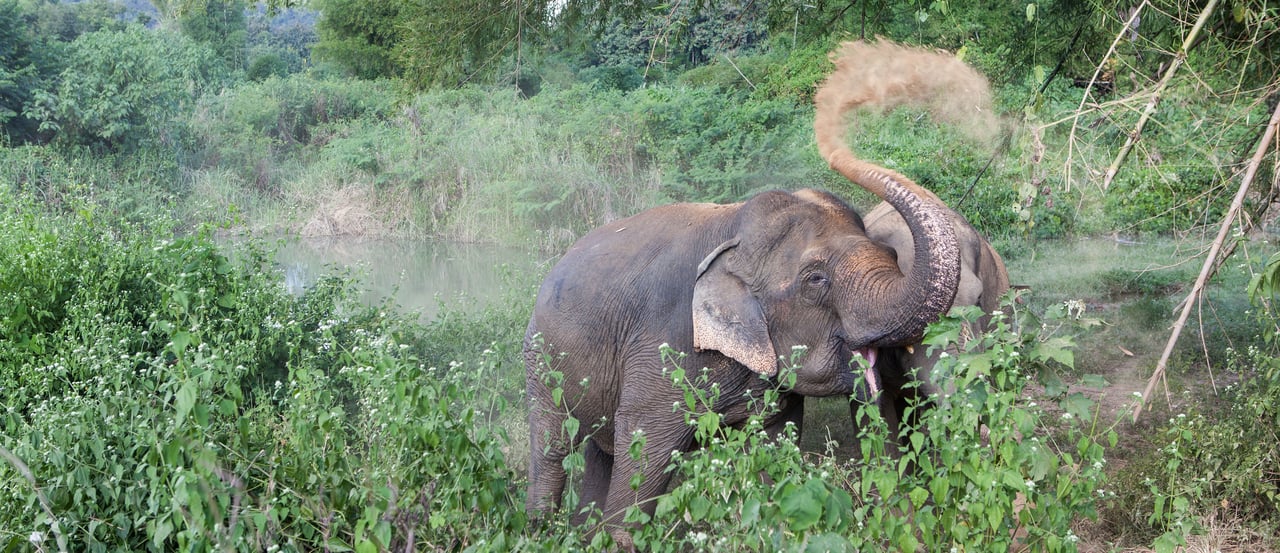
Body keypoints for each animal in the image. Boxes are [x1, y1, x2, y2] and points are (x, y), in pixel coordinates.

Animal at [519, 152, 962, 545]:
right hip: (539, 359)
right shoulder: (663, 342)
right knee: (552, 447)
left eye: (891, 254)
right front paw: (620, 538)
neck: (733, 233)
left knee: (602, 451)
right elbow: (644, 444)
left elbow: (772, 442)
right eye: (816, 279)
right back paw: (542, 529)